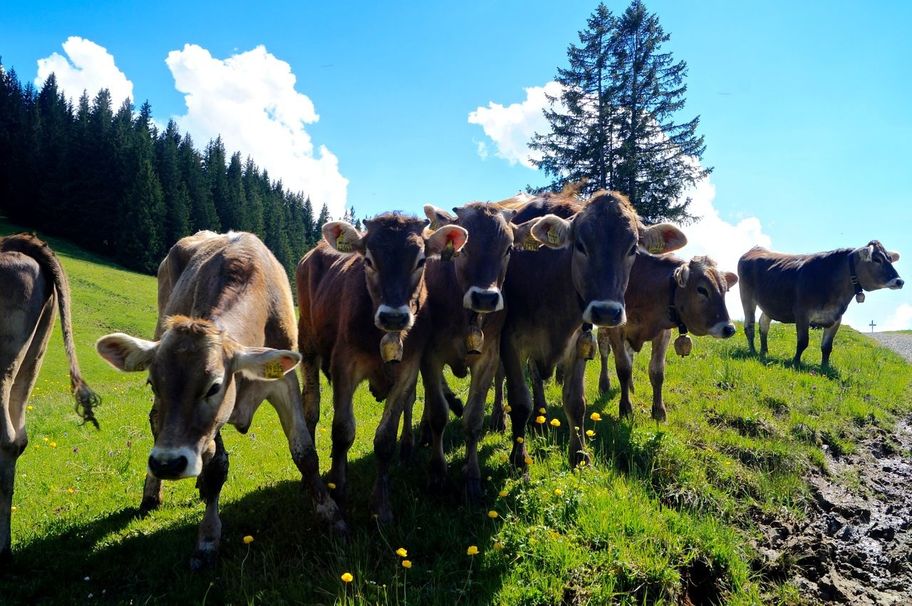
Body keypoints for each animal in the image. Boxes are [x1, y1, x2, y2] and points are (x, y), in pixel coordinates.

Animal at [96, 231, 340, 570]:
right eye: (152, 382)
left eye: (214, 387)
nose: (167, 463)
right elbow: (216, 467)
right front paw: (208, 539)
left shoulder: (284, 380)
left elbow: (304, 451)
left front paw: (329, 514)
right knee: (157, 422)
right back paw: (151, 495)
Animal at [296, 214, 467, 523]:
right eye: (368, 260)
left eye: (421, 261)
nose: (394, 316)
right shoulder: (344, 366)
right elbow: (342, 431)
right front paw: (338, 487)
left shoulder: (409, 369)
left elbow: (386, 439)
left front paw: (381, 506)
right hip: (307, 343)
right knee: (311, 409)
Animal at [498, 190, 686, 469]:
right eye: (580, 245)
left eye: (632, 249)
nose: (606, 312)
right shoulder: (510, 341)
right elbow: (520, 401)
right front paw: (519, 458)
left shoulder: (578, 343)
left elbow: (576, 402)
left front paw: (579, 454)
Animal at [601, 255, 737, 421]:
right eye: (702, 289)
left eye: (725, 290)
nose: (729, 328)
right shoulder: (615, 330)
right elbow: (623, 369)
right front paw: (626, 409)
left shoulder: (663, 333)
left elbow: (657, 372)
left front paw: (659, 411)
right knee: (604, 351)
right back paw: (604, 384)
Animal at [738, 242, 903, 367]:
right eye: (877, 259)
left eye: (889, 259)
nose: (899, 281)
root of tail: (755, 249)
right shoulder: (802, 314)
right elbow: (803, 342)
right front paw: (795, 362)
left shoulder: (836, 319)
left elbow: (827, 347)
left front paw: (824, 367)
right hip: (746, 295)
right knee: (749, 325)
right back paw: (753, 351)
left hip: (769, 304)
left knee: (763, 325)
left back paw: (764, 352)